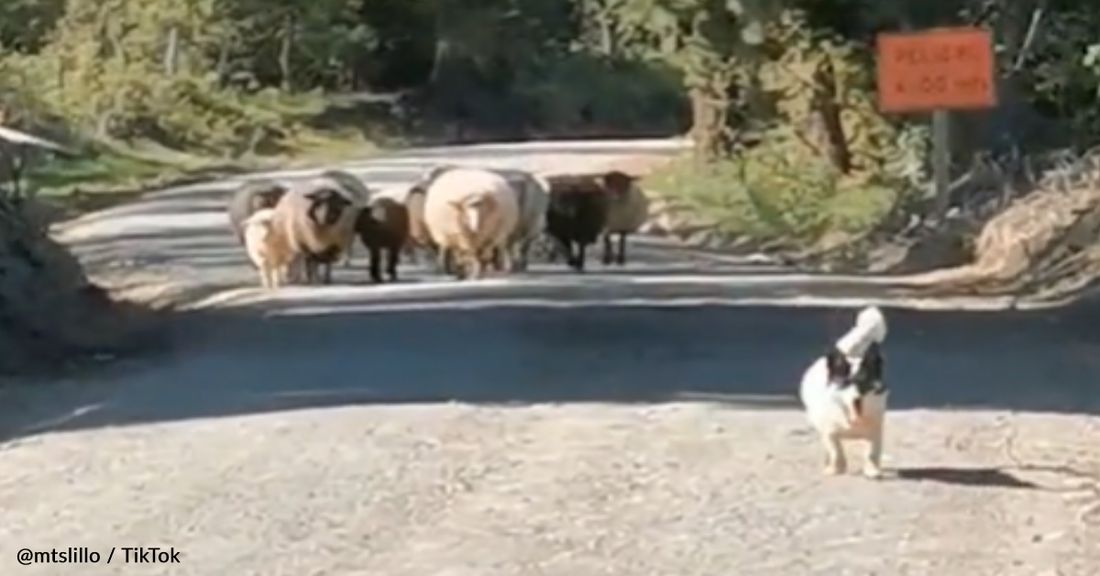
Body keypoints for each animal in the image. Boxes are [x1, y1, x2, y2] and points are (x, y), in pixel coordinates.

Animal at [800, 307, 893, 479]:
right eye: (845, 383)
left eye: (864, 383)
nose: (856, 397)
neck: (852, 420)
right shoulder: (830, 432)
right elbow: (836, 450)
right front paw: (837, 468)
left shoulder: (876, 430)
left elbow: (871, 452)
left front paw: (872, 470)